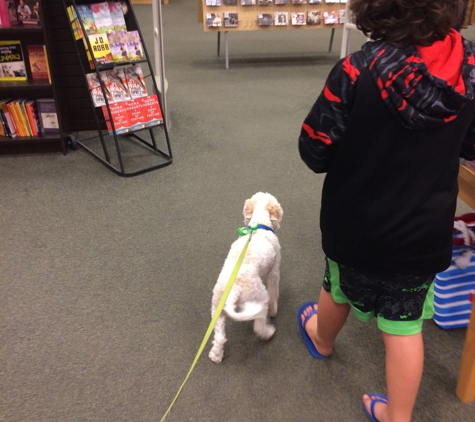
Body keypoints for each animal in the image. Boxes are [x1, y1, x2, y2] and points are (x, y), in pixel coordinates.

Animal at [208, 193, 282, 364]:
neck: (259, 226)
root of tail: (234, 289)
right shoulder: (274, 271)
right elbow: (274, 292)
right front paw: (274, 310)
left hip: (217, 310)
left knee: (220, 338)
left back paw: (215, 356)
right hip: (259, 298)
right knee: (258, 326)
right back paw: (268, 332)